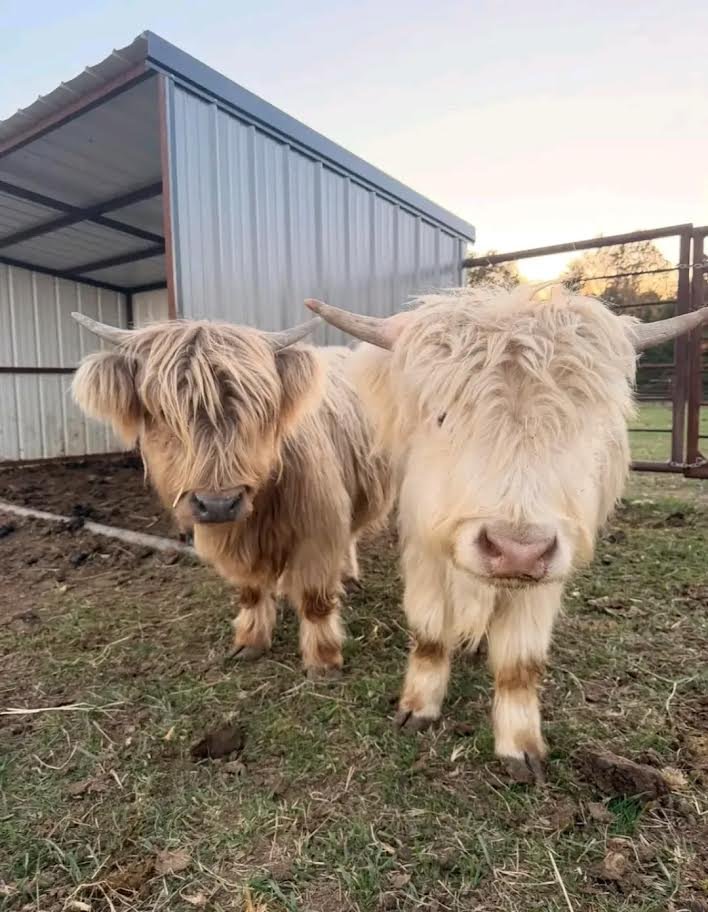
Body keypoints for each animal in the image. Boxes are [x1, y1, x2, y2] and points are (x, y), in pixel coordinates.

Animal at [71, 314, 391, 679]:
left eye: (259, 410)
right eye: (164, 414)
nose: (218, 504)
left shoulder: (318, 528)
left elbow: (315, 597)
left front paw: (323, 661)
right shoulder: (230, 541)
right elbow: (249, 591)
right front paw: (250, 641)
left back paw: (348, 576)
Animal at [306, 286, 708, 781]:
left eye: (579, 421)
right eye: (443, 416)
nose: (517, 552)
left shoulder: (549, 566)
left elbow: (520, 663)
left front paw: (520, 745)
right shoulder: (425, 544)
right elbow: (430, 631)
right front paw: (418, 707)